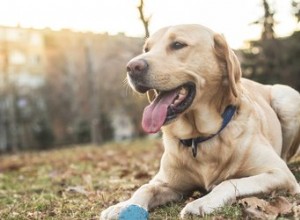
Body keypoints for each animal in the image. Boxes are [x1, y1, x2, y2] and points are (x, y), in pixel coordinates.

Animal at [101, 23, 300, 218]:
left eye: (178, 45)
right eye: (146, 49)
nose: (132, 67)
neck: (199, 137)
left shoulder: (279, 173)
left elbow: (228, 182)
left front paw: (202, 202)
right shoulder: (167, 182)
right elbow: (145, 187)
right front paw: (122, 205)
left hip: (286, 97)